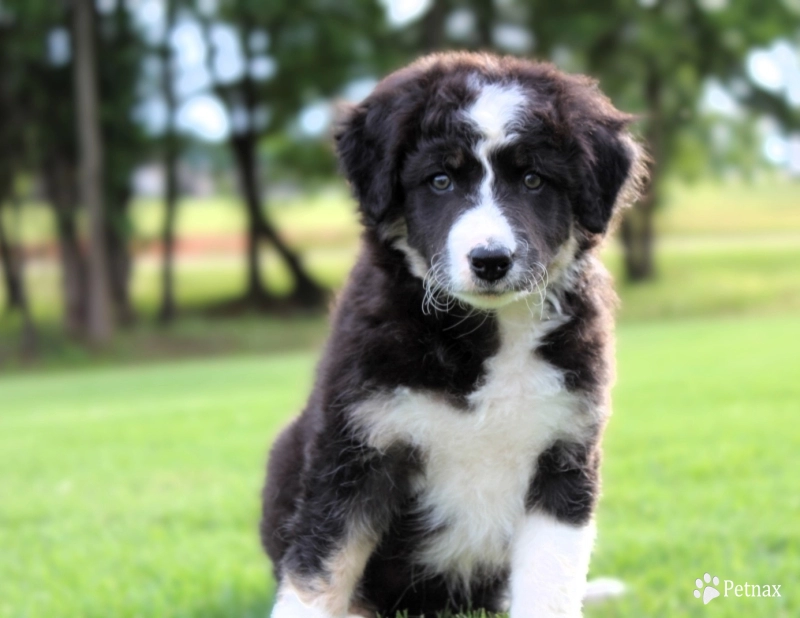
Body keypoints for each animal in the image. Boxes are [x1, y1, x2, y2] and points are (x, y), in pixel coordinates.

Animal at [260, 53, 644, 616]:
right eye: (440, 180)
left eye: (533, 180)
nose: (490, 260)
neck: (483, 334)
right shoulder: (353, 453)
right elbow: (318, 569)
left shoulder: (565, 453)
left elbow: (549, 582)